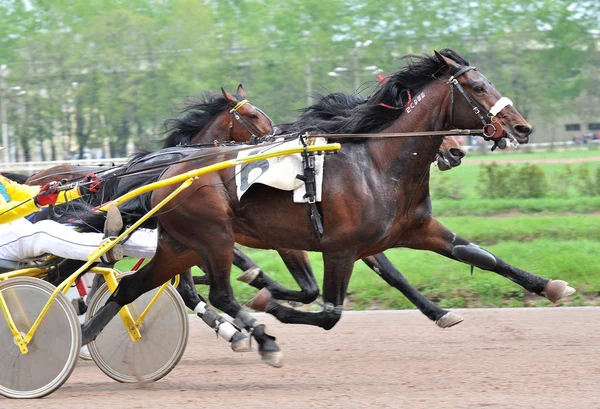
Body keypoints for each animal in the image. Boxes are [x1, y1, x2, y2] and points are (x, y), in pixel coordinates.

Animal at [81, 48, 576, 366]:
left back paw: (85, 338)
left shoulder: (410, 230)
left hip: (180, 244)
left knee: (135, 288)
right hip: (213, 236)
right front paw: (269, 303)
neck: (378, 163)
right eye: (477, 85)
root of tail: (168, 171)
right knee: (216, 291)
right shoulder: (339, 248)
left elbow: (480, 256)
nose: (523, 127)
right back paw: (258, 334)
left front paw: (550, 286)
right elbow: (330, 309)